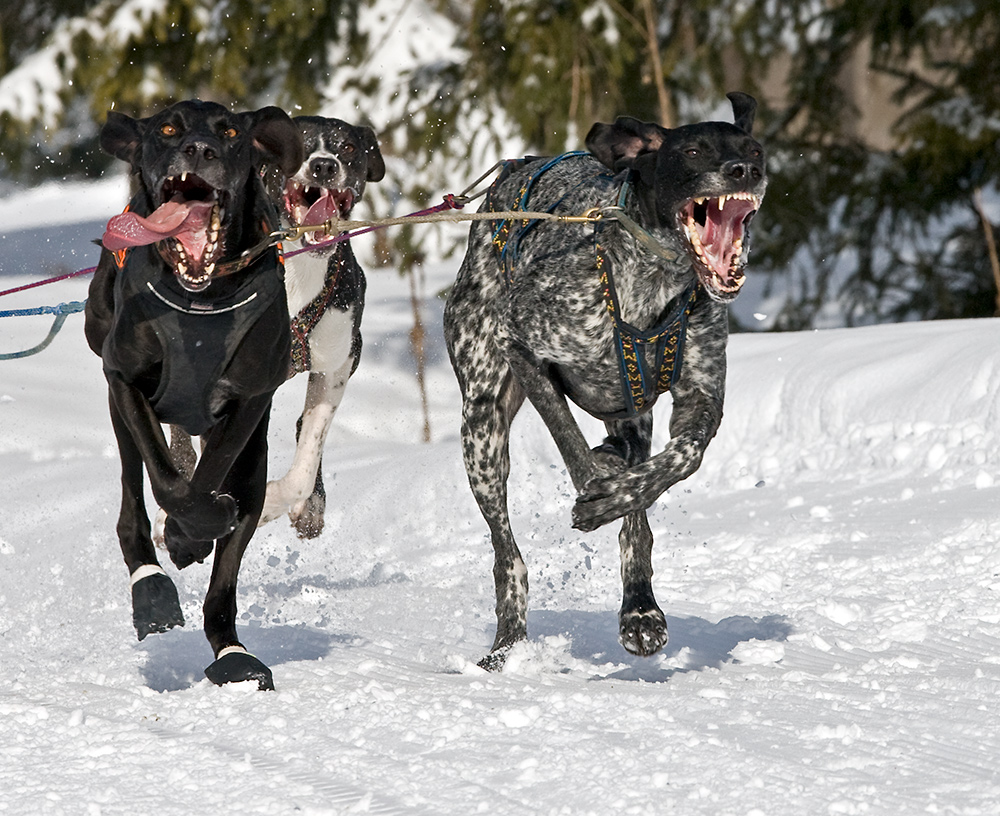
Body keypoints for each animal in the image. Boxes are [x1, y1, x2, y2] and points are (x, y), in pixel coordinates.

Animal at [85, 99, 304, 692]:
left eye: (229, 132)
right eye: (166, 128)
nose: (200, 150)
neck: (201, 301)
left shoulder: (251, 399)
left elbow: (210, 476)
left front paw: (193, 534)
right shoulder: (124, 380)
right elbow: (168, 482)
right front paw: (184, 536)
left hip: (254, 464)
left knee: (224, 582)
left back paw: (233, 654)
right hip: (118, 401)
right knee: (133, 500)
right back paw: (151, 587)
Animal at [256, 113, 384, 536]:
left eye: (348, 147)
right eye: (296, 141)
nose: (325, 166)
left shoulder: (339, 362)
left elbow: (305, 462)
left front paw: (276, 503)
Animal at [442, 92, 760, 672]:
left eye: (754, 149)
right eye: (693, 151)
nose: (744, 170)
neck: (649, 285)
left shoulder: (700, 398)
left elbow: (679, 462)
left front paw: (639, 604)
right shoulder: (521, 344)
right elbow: (570, 444)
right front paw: (598, 488)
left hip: (632, 413)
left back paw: (638, 600)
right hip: (482, 427)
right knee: (507, 553)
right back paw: (507, 644)